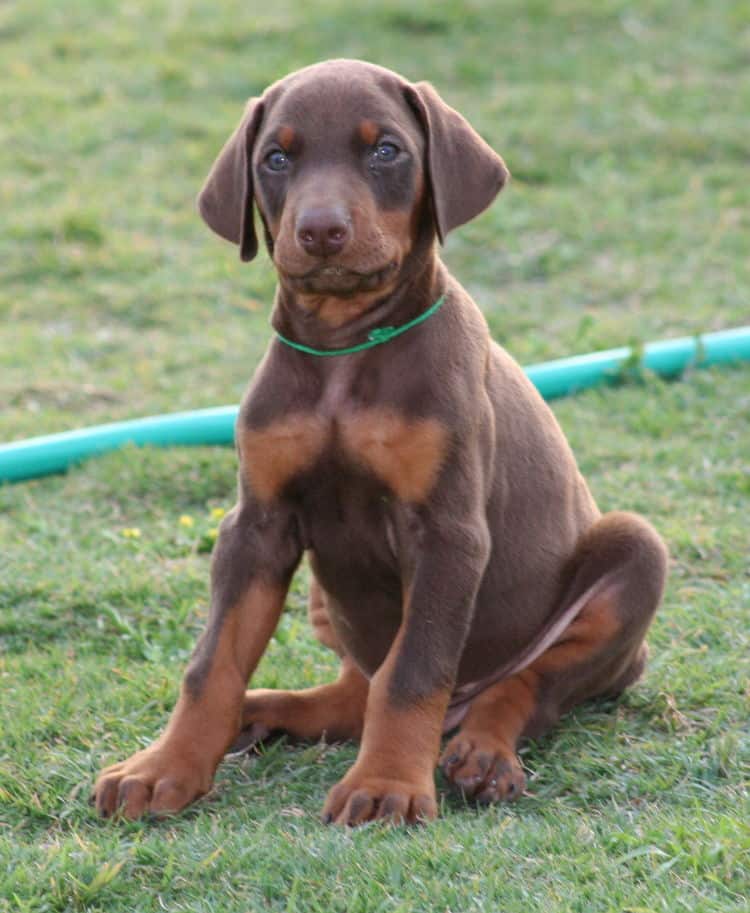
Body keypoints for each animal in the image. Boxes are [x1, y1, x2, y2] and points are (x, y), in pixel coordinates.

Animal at [92, 58, 668, 828]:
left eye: (386, 150)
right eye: (276, 158)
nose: (321, 230)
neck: (344, 351)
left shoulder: (448, 533)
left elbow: (413, 670)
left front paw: (389, 783)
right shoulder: (257, 524)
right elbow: (211, 663)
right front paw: (164, 767)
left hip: (634, 554)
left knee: (525, 687)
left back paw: (483, 752)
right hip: (324, 599)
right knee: (351, 691)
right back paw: (262, 712)